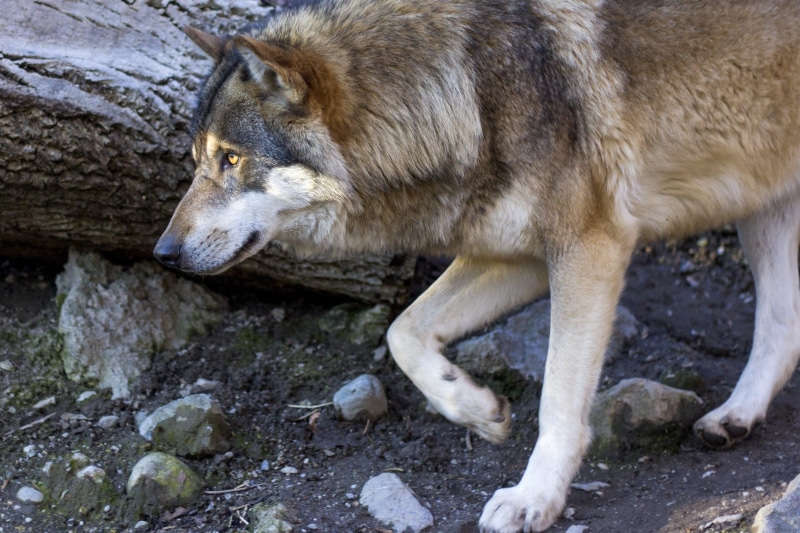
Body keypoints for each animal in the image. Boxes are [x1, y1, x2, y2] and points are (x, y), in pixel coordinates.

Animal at [153, 0, 800, 530]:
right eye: (198, 159)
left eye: (231, 158)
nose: (164, 253)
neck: (467, 89)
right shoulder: (520, 256)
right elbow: (403, 331)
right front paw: (473, 407)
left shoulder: (590, 248)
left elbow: (559, 396)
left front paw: (534, 497)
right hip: (763, 210)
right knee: (782, 328)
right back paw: (737, 416)